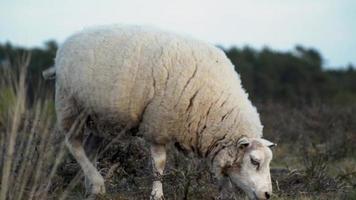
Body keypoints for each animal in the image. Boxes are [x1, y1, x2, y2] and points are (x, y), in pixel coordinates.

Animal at [48, 25, 276, 200]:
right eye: (254, 161)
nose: (267, 195)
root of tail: (65, 44)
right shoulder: (158, 124)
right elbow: (159, 164)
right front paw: (157, 194)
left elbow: (224, 175)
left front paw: (225, 193)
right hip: (70, 105)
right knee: (74, 145)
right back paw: (97, 183)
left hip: (101, 118)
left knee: (90, 148)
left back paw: (92, 187)